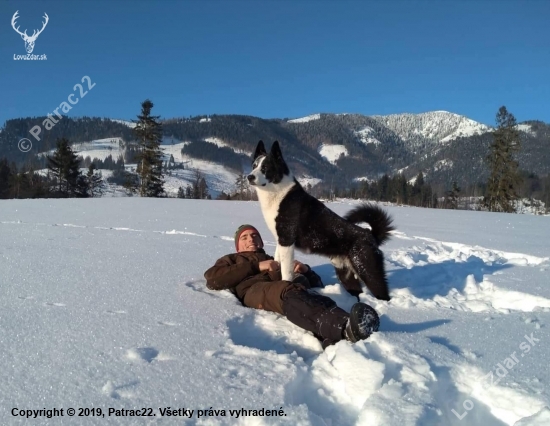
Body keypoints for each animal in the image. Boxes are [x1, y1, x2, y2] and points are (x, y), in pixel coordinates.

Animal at [250, 140, 396, 300]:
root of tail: (371, 235)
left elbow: (286, 272)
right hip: (345, 273)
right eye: (254, 166)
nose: (249, 177)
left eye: (265, 168)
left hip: (368, 271)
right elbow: (277, 262)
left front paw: (285, 285)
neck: (278, 192)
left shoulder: (287, 241)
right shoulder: (280, 242)